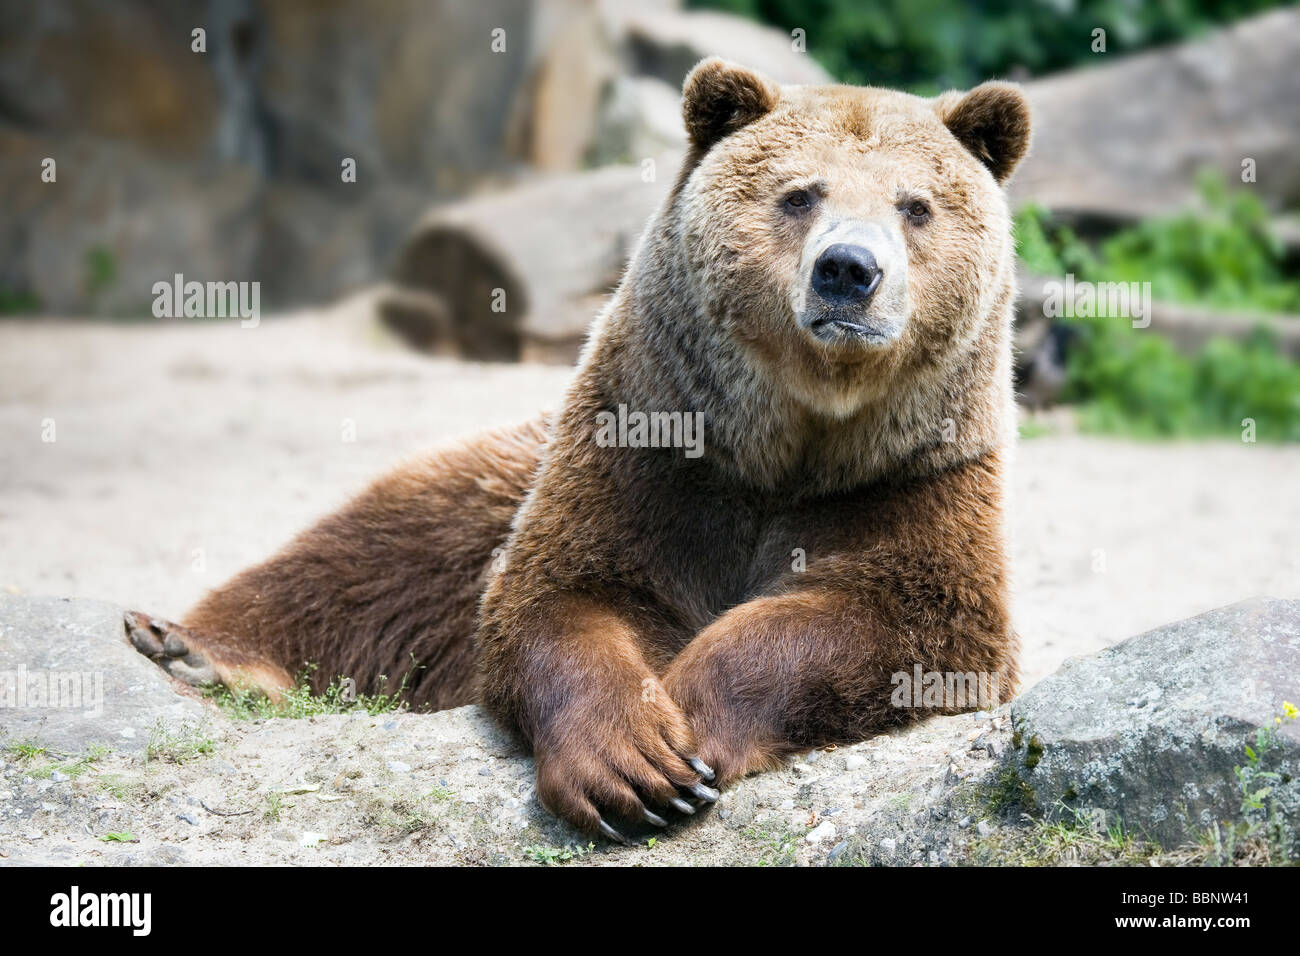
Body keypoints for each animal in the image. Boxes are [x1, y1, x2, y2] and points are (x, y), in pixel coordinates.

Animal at [126, 55, 1029, 842]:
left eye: (916, 205)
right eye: (799, 194)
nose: (849, 270)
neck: (795, 438)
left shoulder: (912, 481)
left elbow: (889, 617)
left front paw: (692, 720)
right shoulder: (652, 447)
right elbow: (564, 593)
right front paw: (637, 762)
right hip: (490, 481)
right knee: (367, 559)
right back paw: (189, 645)